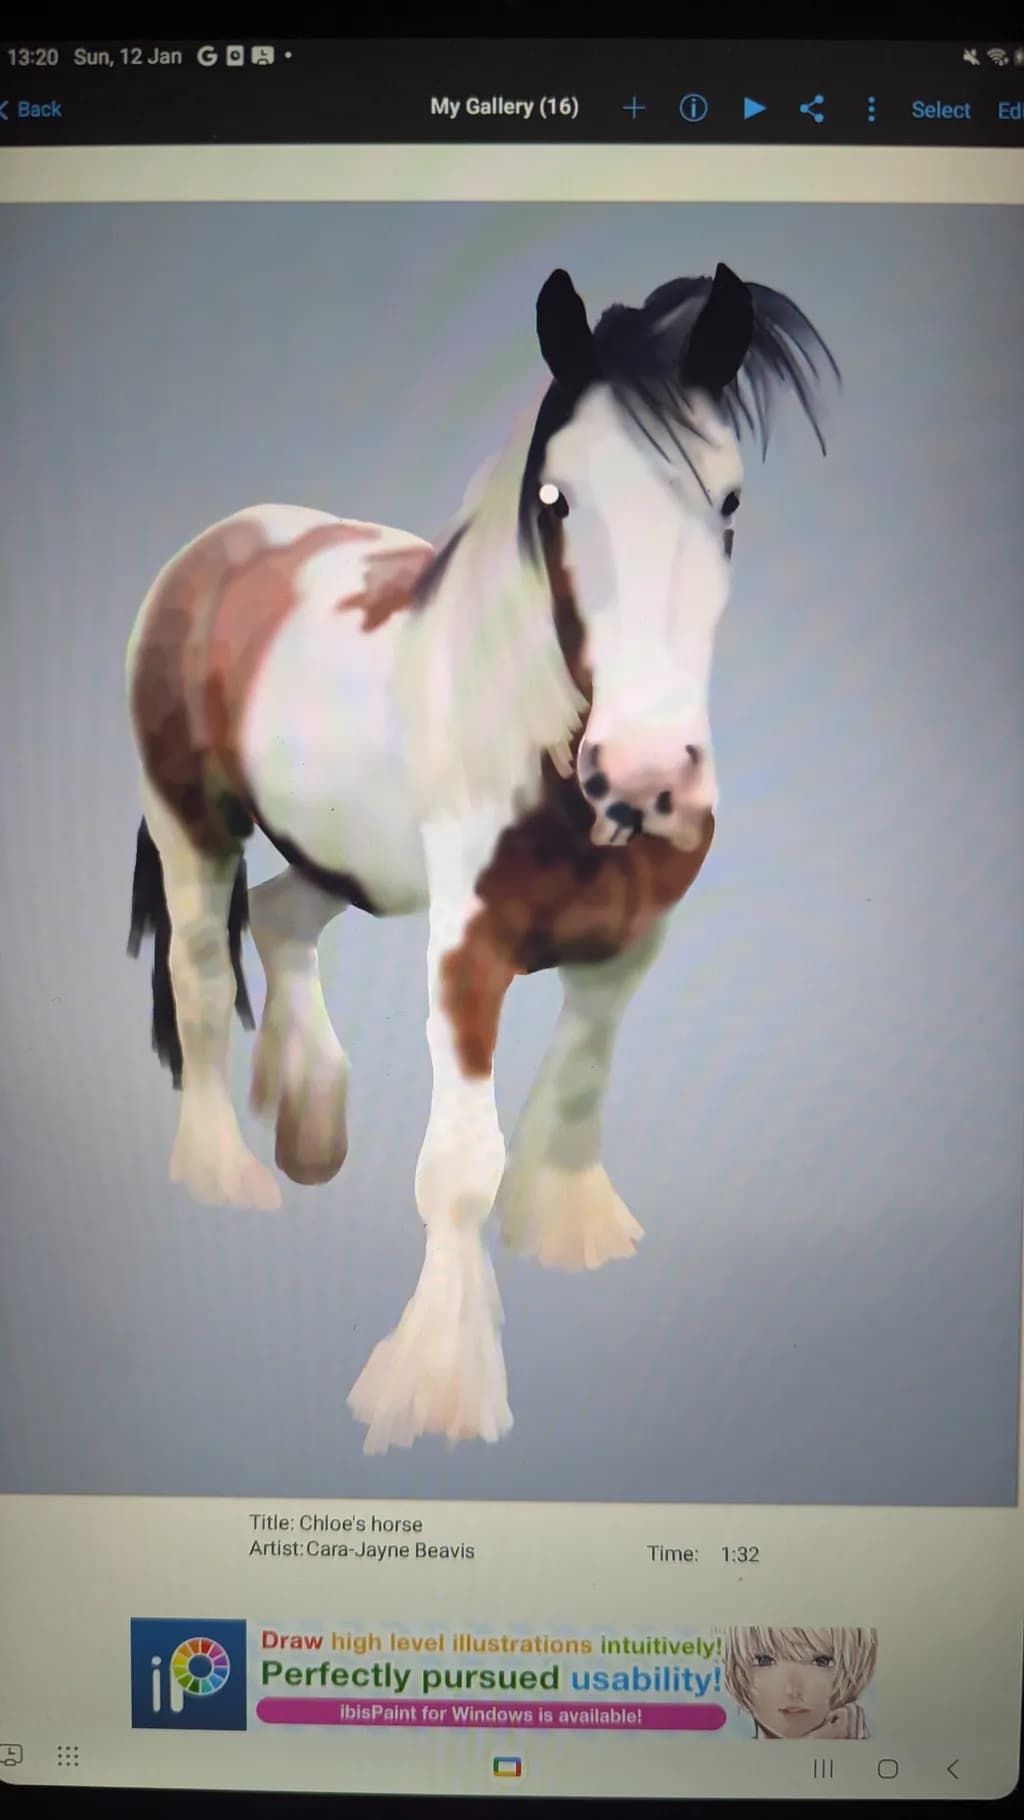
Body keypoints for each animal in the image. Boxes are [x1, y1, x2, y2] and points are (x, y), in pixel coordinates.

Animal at [125, 262, 838, 1456]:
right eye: (554, 498)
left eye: (731, 500)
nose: (646, 777)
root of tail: (222, 540)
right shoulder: (465, 953)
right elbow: (459, 1168)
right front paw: (436, 1385)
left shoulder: (628, 950)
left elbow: (577, 1093)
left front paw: (569, 1232)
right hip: (192, 825)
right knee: (201, 974)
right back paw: (223, 1171)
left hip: (351, 858)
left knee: (278, 917)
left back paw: (310, 1118)